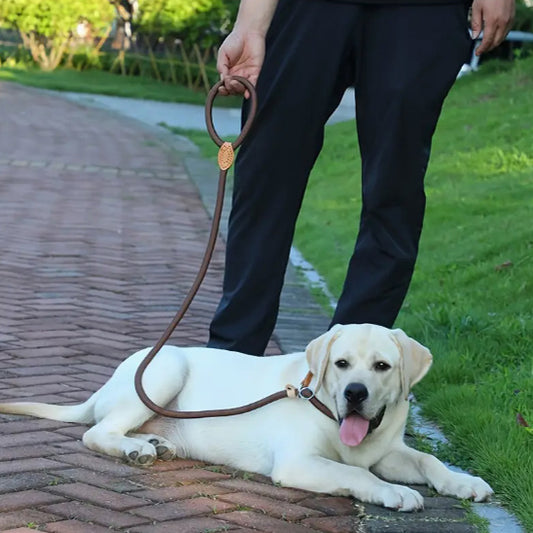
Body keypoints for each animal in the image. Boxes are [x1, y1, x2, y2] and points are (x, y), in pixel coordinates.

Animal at [0, 322, 490, 510]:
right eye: (342, 364)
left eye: (383, 366)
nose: (355, 393)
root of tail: (110, 380)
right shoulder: (298, 462)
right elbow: (358, 474)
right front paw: (394, 493)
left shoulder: (387, 450)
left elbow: (427, 460)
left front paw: (463, 482)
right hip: (163, 370)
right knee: (97, 432)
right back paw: (133, 449)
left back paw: (155, 442)